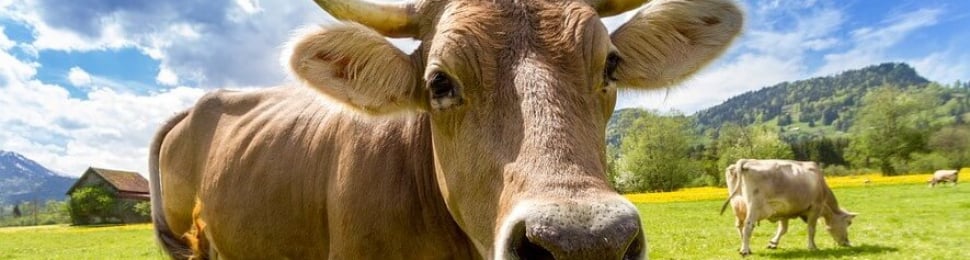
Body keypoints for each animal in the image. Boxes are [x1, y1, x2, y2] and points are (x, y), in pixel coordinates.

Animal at [720, 158, 856, 256]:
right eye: (848, 223)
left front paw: (773, 243)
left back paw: (746, 247)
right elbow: (811, 229)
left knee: (740, 226)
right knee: (748, 227)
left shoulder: (783, 211)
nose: (847, 243)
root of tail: (746, 161)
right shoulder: (815, 208)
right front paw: (812, 247)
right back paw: (745, 250)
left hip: (738, 206)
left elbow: (783, 229)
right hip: (754, 207)